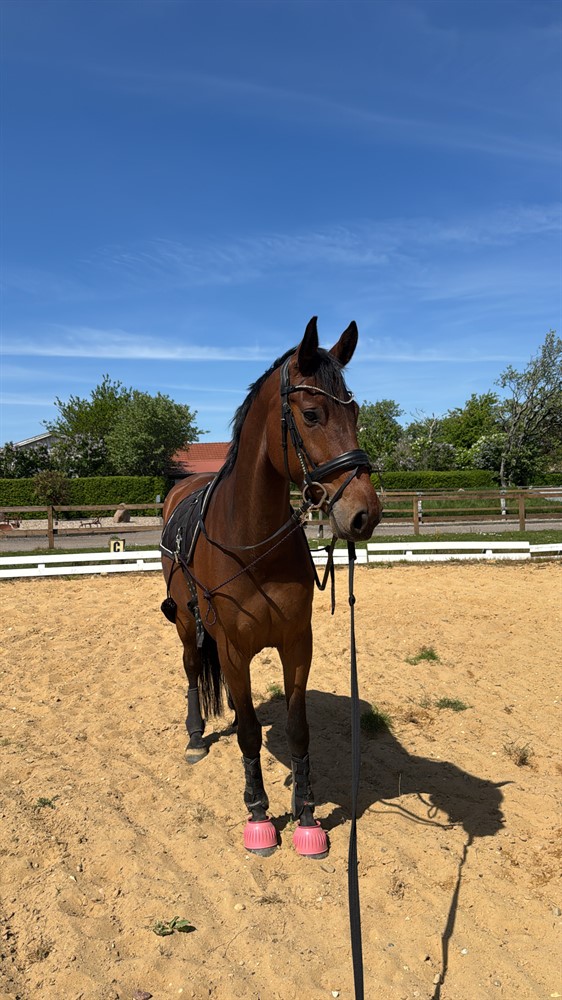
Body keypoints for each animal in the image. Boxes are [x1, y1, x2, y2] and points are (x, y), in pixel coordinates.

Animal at [160, 317, 381, 858]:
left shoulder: (296, 644)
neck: (252, 542)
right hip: (186, 626)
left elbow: (298, 732)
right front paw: (259, 817)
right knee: (193, 670)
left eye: (356, 412)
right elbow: (246, 735)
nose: (364, 514)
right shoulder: (232, 650)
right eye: (312, 414)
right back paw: (195, 738)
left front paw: (306, 818)